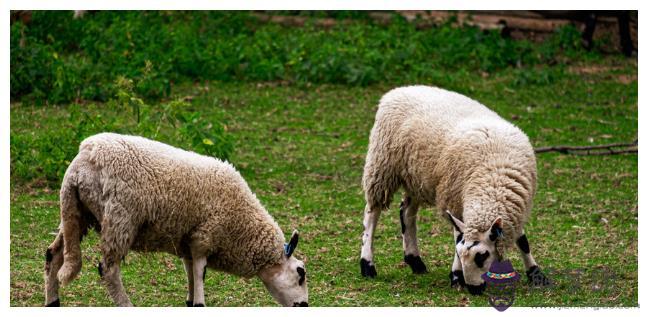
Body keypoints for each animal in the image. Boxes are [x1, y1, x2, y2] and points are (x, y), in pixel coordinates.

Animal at [44, 132, 310, 304]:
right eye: (300, 273)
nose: (304, 305)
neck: (243, 228)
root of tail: (81, 161)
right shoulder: (204, 239)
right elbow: (200, 287)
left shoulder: (186, 243)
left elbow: (191, 284)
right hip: (120, 218)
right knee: (108, 270)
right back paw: (126, 304)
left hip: (76, 212)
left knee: (53, 255)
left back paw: (52, 301)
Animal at [356, 84, 548, 294]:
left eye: (482, 256)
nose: (474, 289)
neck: (492, 182)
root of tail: (397, 90)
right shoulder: (455, 200)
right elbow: (458, 238)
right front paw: (456, 276)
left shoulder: (515, 208)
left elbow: (523, 241)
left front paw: (536, 274)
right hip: (382, 165)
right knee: (372, 213)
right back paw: (367, 264)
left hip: (416, 176)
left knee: (406, 212)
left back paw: (415, 261)